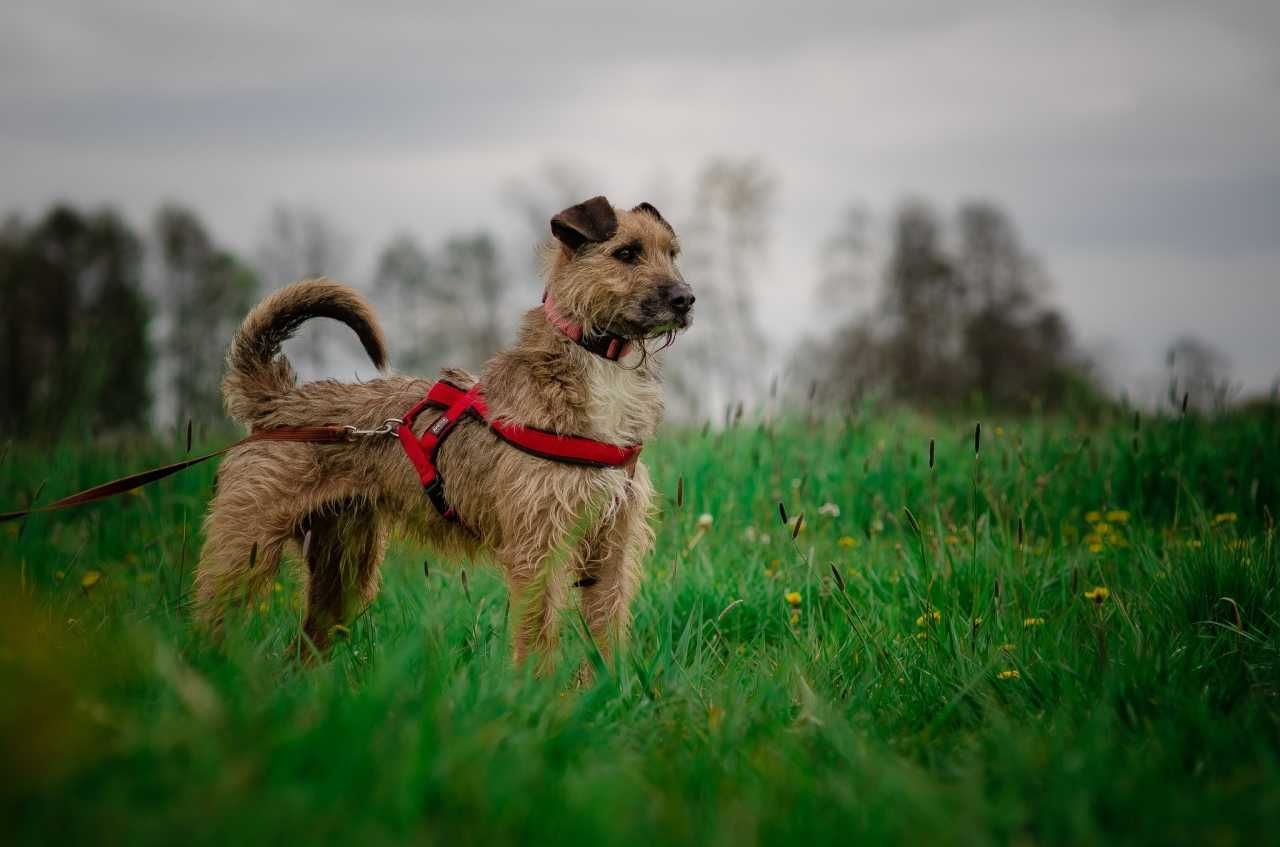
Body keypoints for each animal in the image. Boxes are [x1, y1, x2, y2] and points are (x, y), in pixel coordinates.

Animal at [194, 195, 696, 675]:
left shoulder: (611, 548)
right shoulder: (538, 548)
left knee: (302, 651)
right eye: (626, 253)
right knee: (212, 627)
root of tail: (277, 400)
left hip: (343, 573)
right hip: (245, 554)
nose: (686, 299)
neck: (599, 364)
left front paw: (609, 692)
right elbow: (537, 639)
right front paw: (541, 698)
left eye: (673, 254)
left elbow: (606, 634)